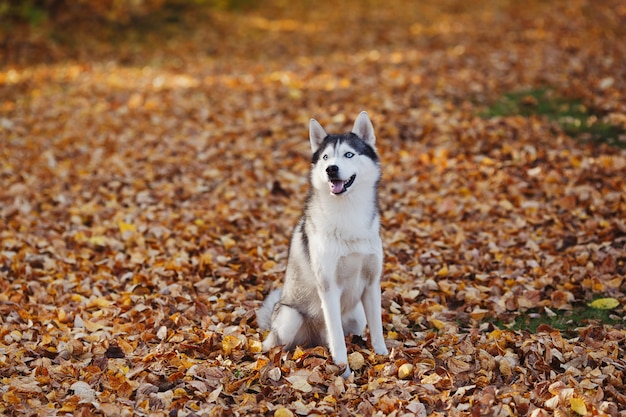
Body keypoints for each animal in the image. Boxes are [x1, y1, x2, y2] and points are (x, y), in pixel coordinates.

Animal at [258, 110, 386, 376]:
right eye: (326, 157)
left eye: (349, 154)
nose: (331, 169)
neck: (348, 215)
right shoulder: (329, 288)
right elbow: (337, 339)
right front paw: (343, 373)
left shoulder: (371, 284)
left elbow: (377, 330)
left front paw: (384, 357)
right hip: (290, 318)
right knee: (279, 347)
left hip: (357, 315)